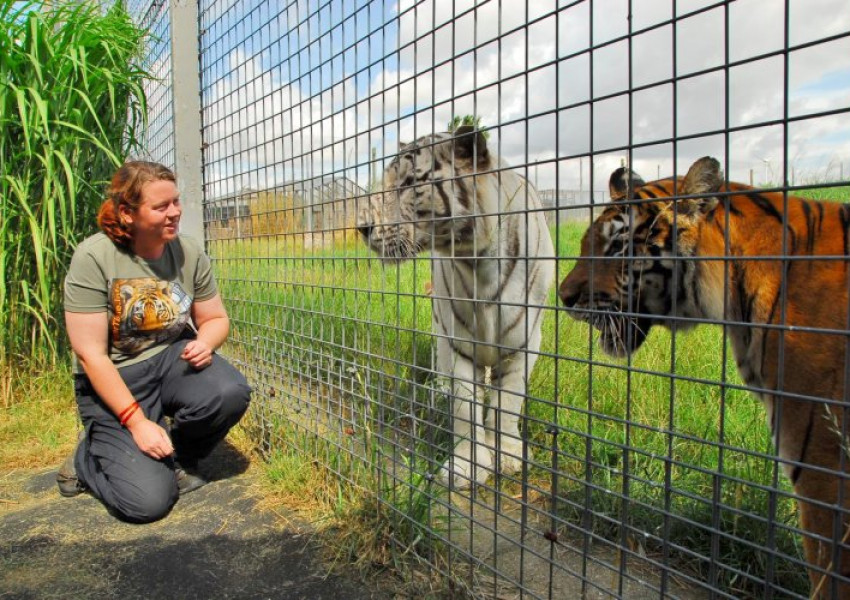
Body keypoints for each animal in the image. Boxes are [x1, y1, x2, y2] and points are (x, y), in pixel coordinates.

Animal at [354, 126, 552, 488]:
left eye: (409, 183)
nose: (361, 228)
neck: (478, 262)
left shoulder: (523, 343)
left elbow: (509, 402)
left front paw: (508, 457)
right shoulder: (459, 340)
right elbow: (464, 408)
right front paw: (465, 467)